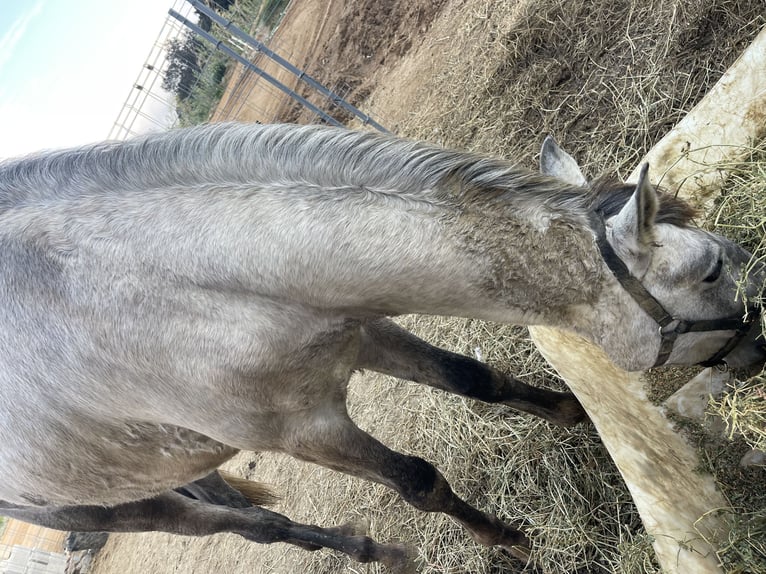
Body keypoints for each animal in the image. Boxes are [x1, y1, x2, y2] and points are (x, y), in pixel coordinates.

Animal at [0, 123, 762, 570]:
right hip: (96, 509)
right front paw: (511, 544)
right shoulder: (304, 430)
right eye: (711, 271)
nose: (758, 345)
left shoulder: (358, 332)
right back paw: (380, 552)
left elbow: (473, 377)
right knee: (249, 528)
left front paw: (573, 416)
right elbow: (418, 480)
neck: (184, 281)